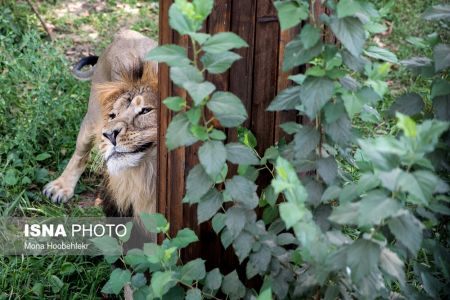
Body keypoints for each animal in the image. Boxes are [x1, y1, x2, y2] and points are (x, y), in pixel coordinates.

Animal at [42, 29, 158, 218]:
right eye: (113, 115)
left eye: (145, 110)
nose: (110, 134)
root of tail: (124, 33)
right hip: (91, 119)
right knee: (80, 155)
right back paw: (61, 187)